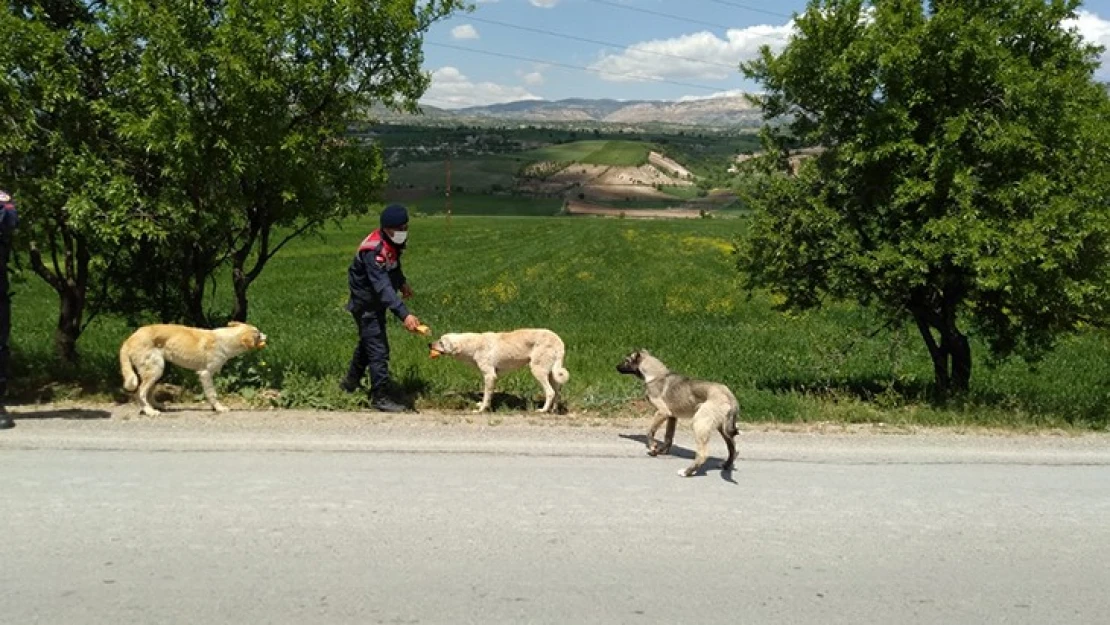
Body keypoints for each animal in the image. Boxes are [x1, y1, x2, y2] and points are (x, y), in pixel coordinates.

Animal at [119, 319, 268, 417]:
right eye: (258, 334)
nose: (267, 336)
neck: (225, 340)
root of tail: (129, 339)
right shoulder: (205, 374)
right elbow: (212, 394)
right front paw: (219, 408)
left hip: (157, 370)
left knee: (148, 392)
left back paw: (157, 406)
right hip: (155, 369)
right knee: (140, 392)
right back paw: (149, 411)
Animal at [428, 330, 572, 412]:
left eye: (441, 342)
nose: (429, 344)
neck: (473, 345)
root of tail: (558, 341)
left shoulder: (489, 376)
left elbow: (486, 395)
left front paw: (482, 409)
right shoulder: (492, 377)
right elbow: (489, 395)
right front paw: (485, 406)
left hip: (538, 370)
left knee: (550, 392)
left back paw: (543, 410)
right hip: (552, 374)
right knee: (557, 392)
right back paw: (553, 410)